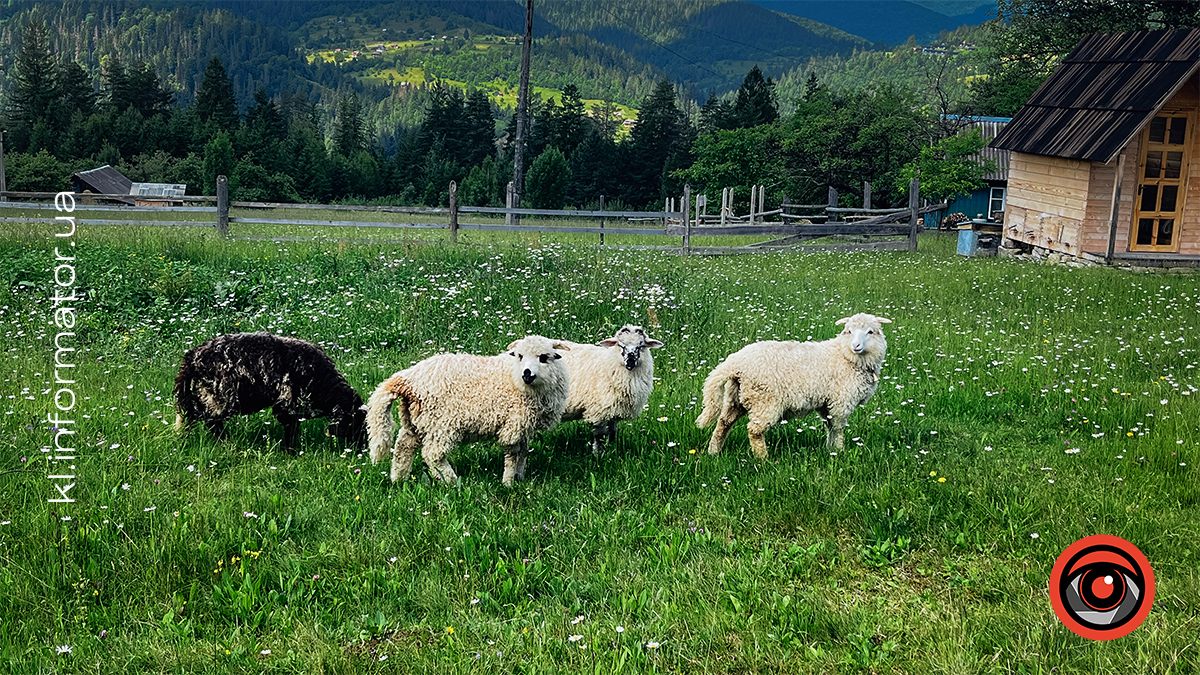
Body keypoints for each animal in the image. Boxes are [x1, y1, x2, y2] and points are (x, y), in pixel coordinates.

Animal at [175, 329, 364, 449]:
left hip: (203, 393)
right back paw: (224, 441)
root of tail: (191, 356)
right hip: (218, 395)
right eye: (357, 425)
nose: (361, 449)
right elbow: (291, 430)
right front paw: (291, 452)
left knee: (191, 412)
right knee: (210, 419)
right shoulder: (287, 404)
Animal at [364, 333, 571, 482]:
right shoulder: (513, 423)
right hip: (440, 422)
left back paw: (398, 479)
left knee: (403, 447)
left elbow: (523, 451)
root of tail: (407, 378)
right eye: (520, 356)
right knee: (433, 454)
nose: (527, 374)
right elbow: (513, 454)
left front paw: (520, 477)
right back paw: (451, 481)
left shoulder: (525, 424)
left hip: (415, 419)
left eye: (544, 357)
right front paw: (508, 482)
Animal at [554, 324, 662, 454]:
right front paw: (598, 455)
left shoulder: (614, 411)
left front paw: (612, 449)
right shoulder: (599, 410)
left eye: (641, 346)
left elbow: (612, 433)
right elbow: (599, 436)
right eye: (621, 345)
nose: (630, 360)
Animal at [696, 314, 892, 456]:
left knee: (723, 423)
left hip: (735, 396)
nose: (856, 345)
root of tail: (735, 362)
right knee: (754, 430)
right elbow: (838, 428)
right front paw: (839, 450)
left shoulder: (827, 404)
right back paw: (763, 459)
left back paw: (713, 452)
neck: (845, 356)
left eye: (870, 332)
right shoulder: (841, 402)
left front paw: (829, 450)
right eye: (849, 331)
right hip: (765, 399)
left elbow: (829, 427)